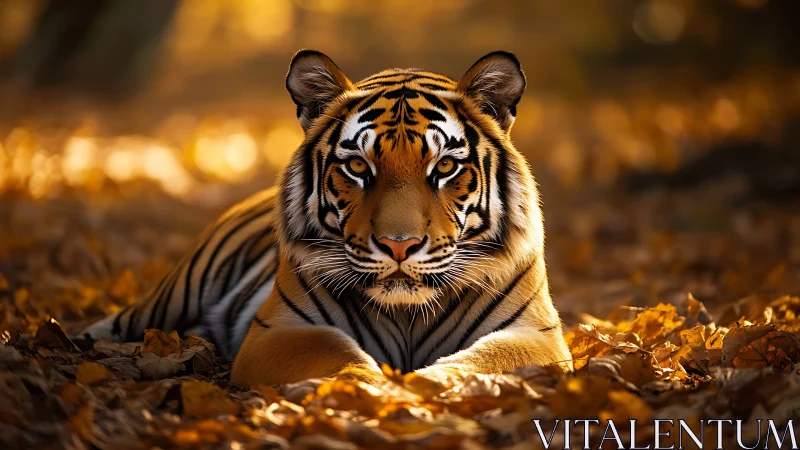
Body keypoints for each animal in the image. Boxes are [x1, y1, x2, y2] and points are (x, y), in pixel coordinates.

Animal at [81, 50, 573, 386]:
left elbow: (482, 362)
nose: (398, 245)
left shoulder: (536, 335)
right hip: (175, 295)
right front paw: (377, 390)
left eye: (445, 167)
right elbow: (337, 353)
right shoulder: (280, 330)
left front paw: (422, 387)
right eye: (357, 166)